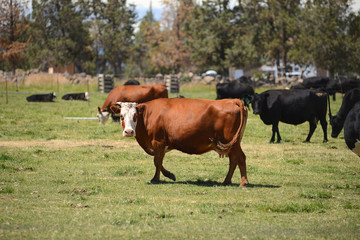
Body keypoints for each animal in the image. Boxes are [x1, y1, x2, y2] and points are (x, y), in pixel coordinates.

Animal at [114, 97, 248, 186]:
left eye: (135, 116)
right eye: (121, 116)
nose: (129, 131)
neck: (148, 116)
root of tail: (232, 100)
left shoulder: (158, 142)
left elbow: (157, 162)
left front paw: (157, 178)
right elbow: (158, 162)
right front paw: (168, 175)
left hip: (232, 142)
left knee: (240, 157)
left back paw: (243, 182)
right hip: (233, 143)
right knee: (234, 159)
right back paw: (227, 181)